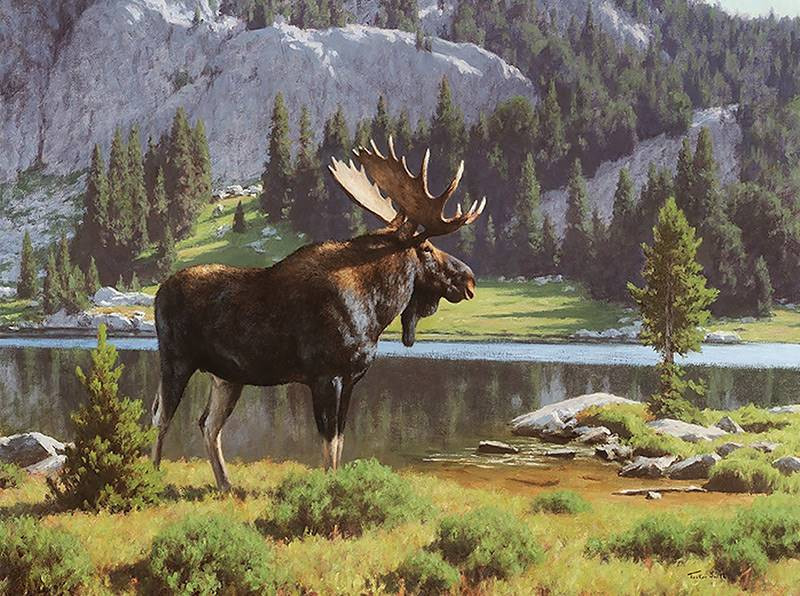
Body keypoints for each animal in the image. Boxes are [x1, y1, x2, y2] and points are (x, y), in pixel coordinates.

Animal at [151, 136, 486, 490]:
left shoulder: (351, 378)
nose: (469, 280)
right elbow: (327, 440)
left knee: (208, 424)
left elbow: (339, 439)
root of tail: (158, 292)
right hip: (175, 360)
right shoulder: (325, 376)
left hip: (227, 376)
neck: (376, 311)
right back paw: (153, 474)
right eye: (426, 249)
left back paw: (226, 484)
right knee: (162, 416)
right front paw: (329, 487)